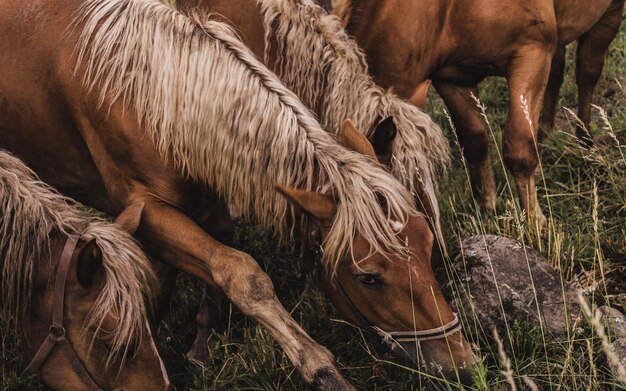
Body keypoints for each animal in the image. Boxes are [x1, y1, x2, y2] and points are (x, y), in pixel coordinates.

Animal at [336, 0, 624, 227]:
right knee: (558, 70)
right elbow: (473, 141)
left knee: (587, 73)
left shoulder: (532, 55)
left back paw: (585, 142)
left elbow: (519, 149)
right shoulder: (451, 78)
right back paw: (544, 138)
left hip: (609, 13)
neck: (448, 9)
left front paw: (535, 222)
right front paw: (486, 209)